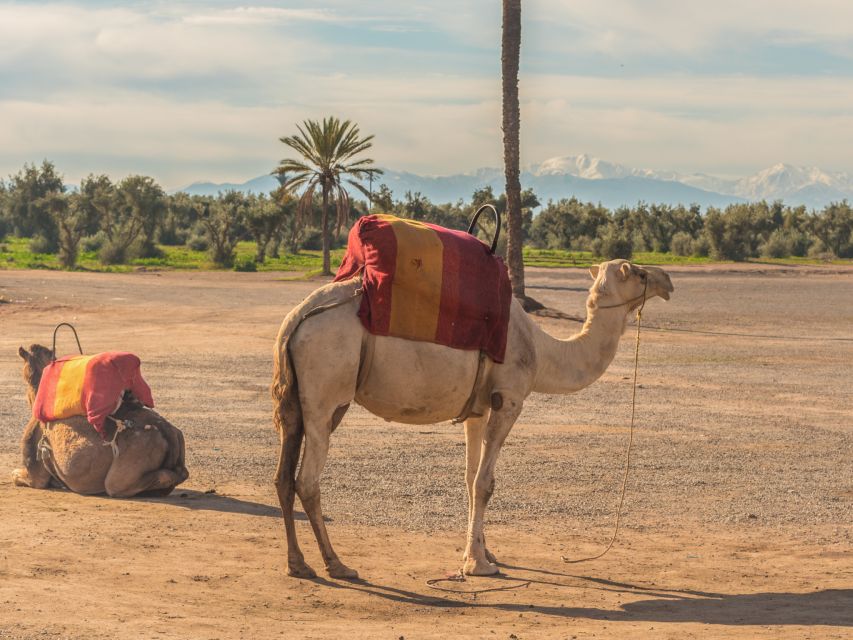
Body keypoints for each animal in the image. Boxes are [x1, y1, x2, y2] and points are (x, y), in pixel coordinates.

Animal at [272, 258, 672, 576]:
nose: (667, 280)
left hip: (297, 400)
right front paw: (478, 565)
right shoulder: (509, 399)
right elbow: (485, 483)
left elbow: (469, 477)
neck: (542, 351)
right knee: (307, 480)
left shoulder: (477, 409)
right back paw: (336, 563)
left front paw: (483, 550)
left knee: (283, 476)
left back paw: (298, 563)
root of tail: (296, 319)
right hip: (326, 392)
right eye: (638, 272)